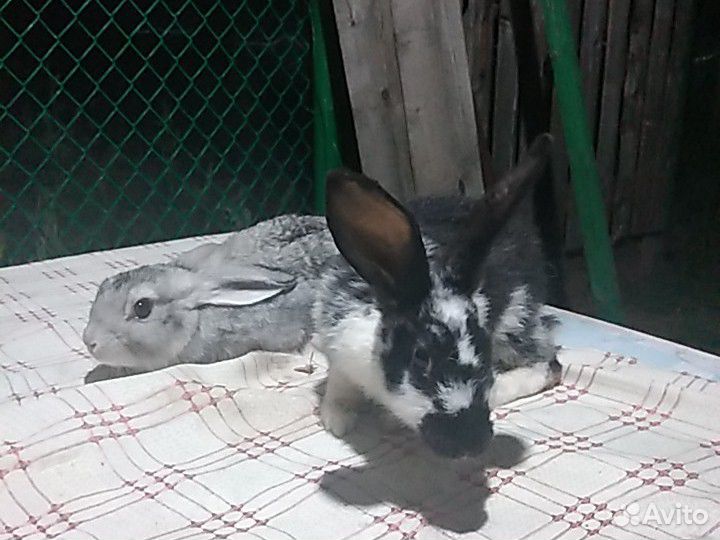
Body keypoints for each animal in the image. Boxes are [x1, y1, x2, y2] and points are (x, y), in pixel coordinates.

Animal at [313, 133, 561, 458]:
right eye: (421, 358)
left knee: (550, 365)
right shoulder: (338, 352)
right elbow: (337, 386)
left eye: (484, 350)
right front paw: (338, 419)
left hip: (516, 324)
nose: (471, 443)